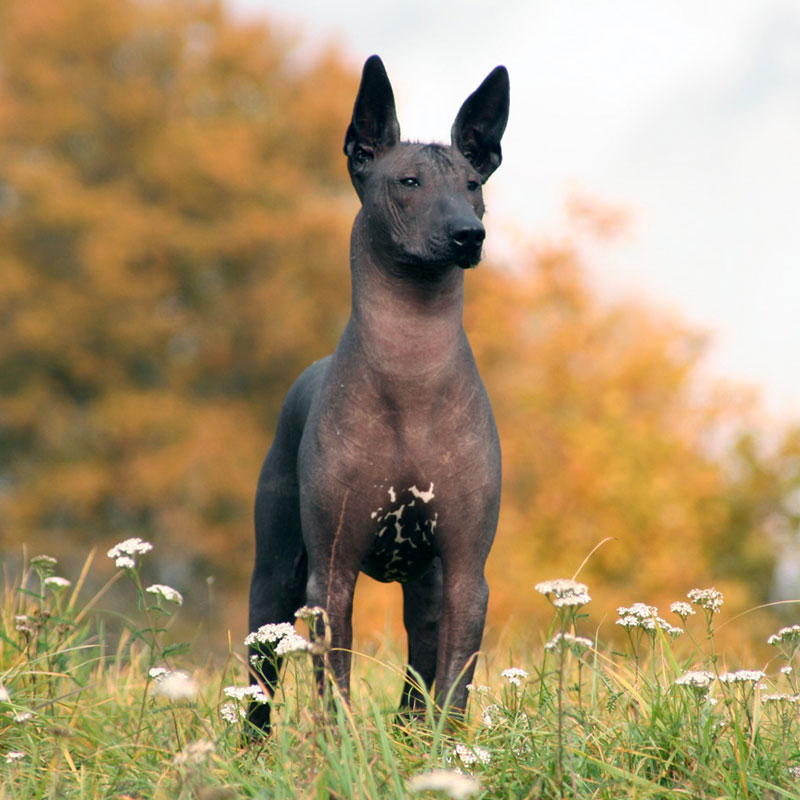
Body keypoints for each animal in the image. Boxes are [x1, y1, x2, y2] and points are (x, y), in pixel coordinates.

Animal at [247, 54, 510, 732]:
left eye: (473, 183)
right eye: (408, 182)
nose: (468, 234)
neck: (410, 373)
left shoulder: (466, 573)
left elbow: (453, 686)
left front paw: (449, 749)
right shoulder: (332, 575)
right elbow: (332, 685)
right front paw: (337, 747)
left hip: (427, 588)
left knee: (420, 672)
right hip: (273, 579)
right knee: (257, 675)